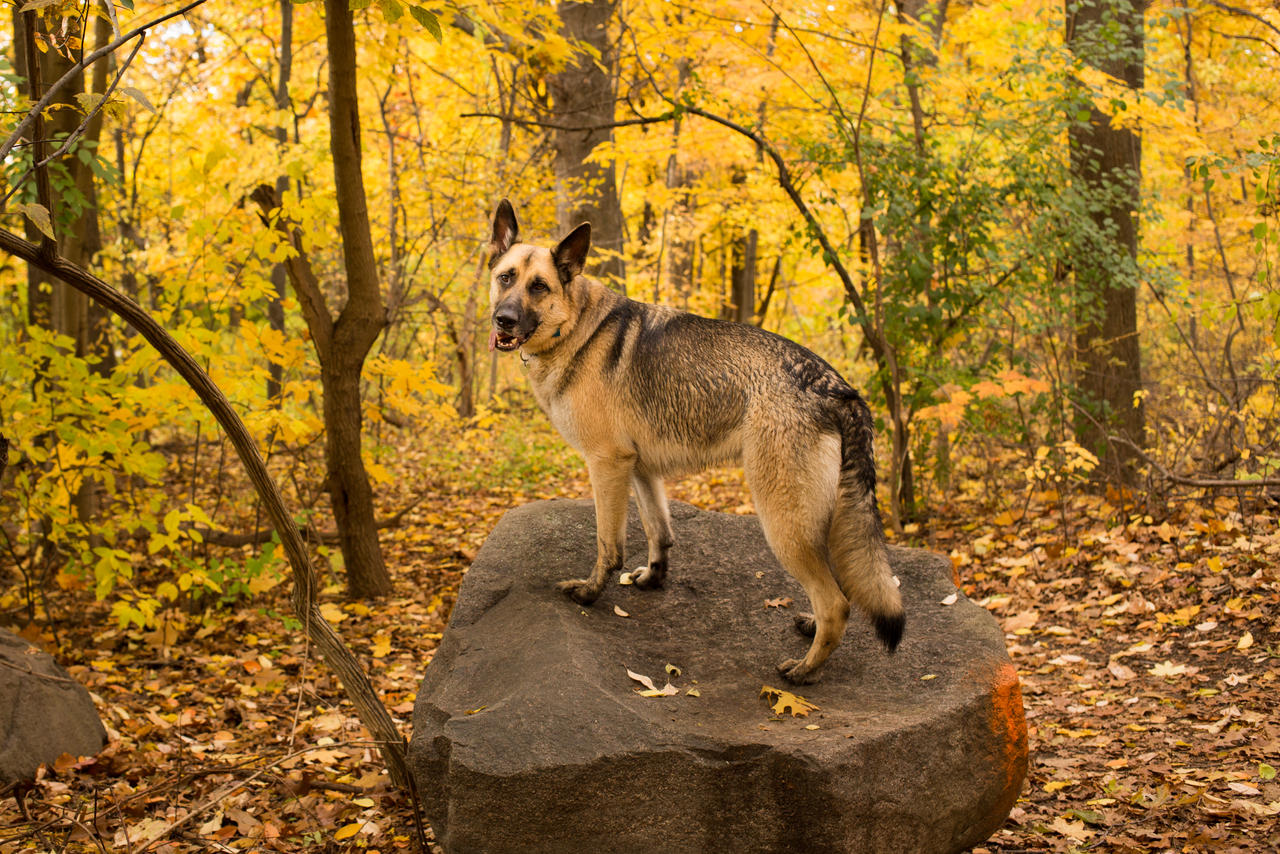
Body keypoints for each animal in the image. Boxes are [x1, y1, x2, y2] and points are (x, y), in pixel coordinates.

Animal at [483, 198, 906, 681]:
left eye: (539, 287)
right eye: (506, 278)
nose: (504, 320)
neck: (576, 327)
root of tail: (838, 387)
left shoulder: (606, 465)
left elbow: (609, 545)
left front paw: (590, 593)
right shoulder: (639, 470)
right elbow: (659, 532)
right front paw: (653, 579)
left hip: (784, 524)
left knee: (836, 602)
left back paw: (804, 671)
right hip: (820, 524)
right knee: (840, 587)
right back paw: (811, 630)